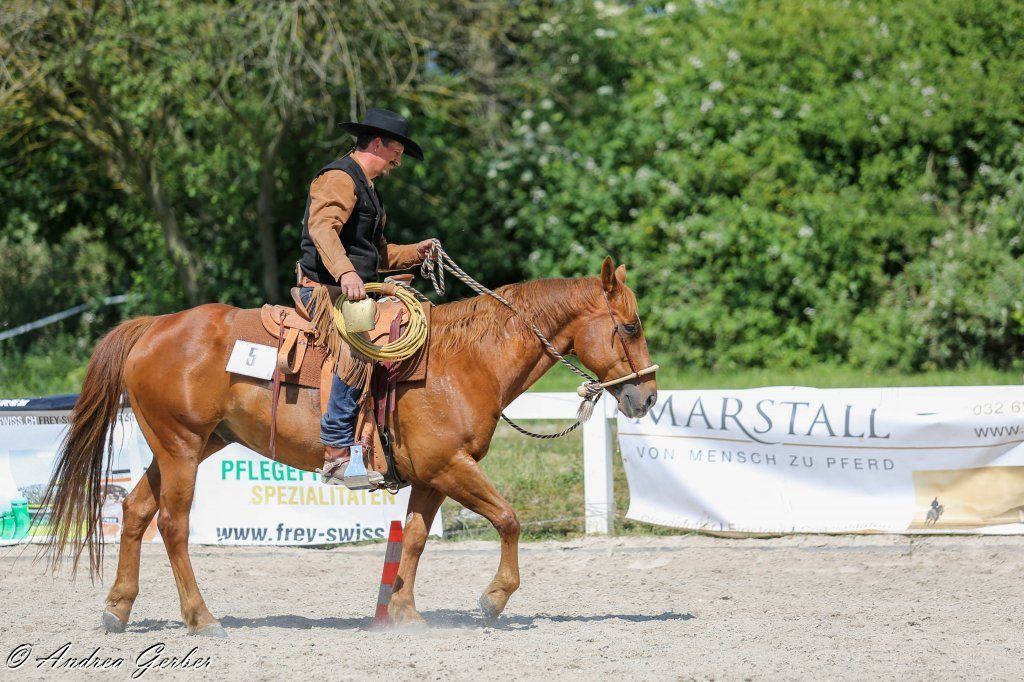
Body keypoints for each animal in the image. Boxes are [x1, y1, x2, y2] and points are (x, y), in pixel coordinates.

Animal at [39, 256, 657, 637]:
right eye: (630, 326)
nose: (647, 396)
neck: (466, 360)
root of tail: (153, 327)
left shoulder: (431, 476)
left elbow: (414, 540)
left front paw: (403, 613)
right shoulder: (450, 466)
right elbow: (508, 519)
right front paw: (494, 598)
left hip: (187, 447)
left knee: (135, 510)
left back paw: (118, 609)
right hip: (182, 448)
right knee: (172, 524)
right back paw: (201, 617)